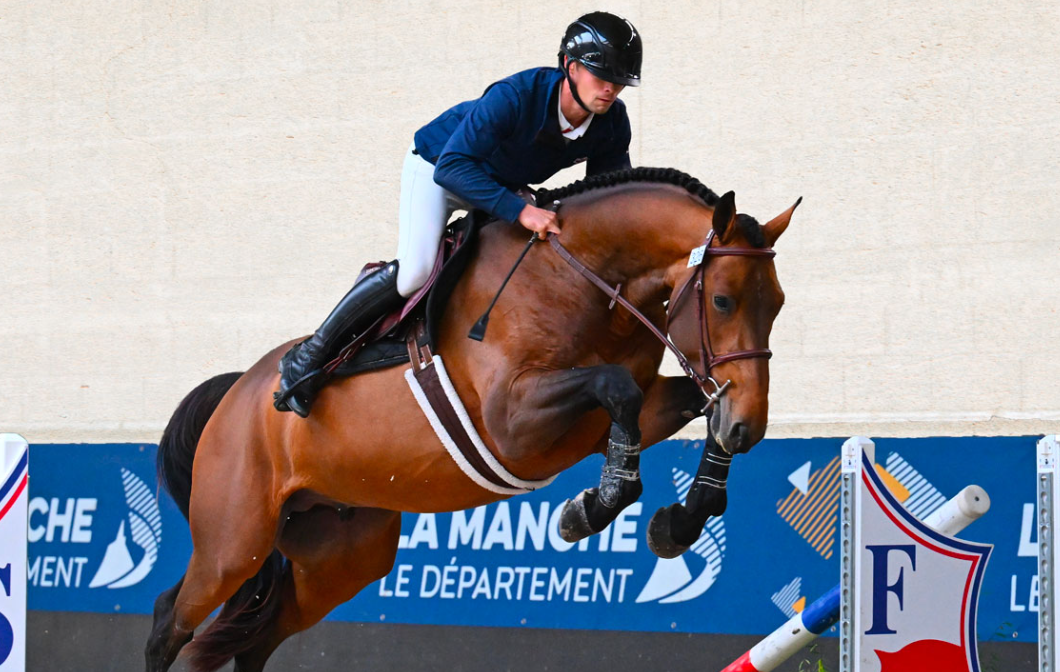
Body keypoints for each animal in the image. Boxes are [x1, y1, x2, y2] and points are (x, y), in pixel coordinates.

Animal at [144, 167, 799, 672]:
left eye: (778, 305)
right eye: (722, 301)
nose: (750, 428)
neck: (584, 278)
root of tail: (238, 391)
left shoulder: (619, 415)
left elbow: (678, 407)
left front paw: (682, 519)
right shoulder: (513, 421)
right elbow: (615, 390)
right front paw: (591, 508)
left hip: (338, 556)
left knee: (249, 639)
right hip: (233, 542)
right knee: (171, 621)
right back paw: (298, 375)